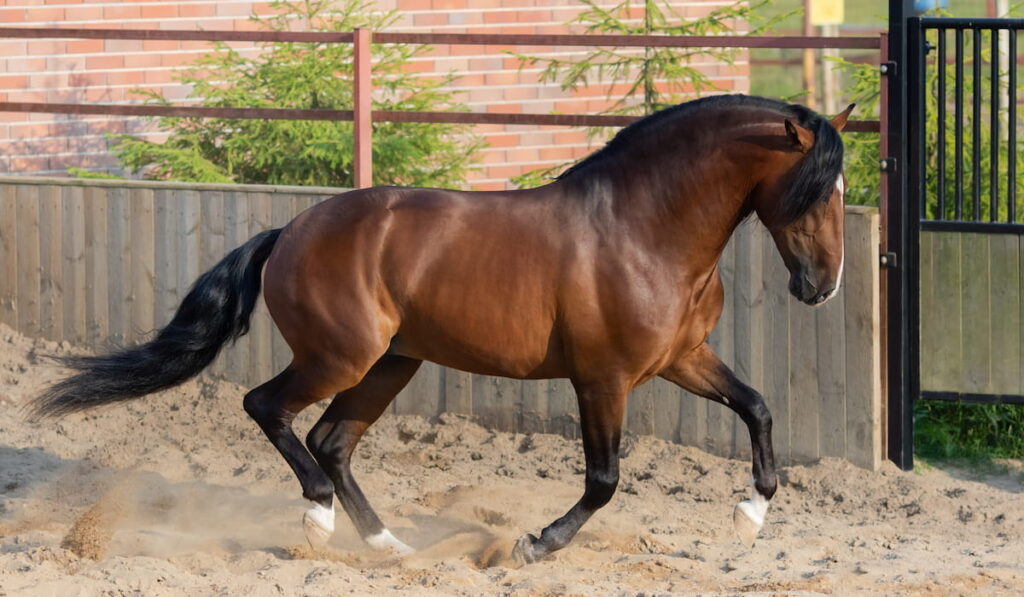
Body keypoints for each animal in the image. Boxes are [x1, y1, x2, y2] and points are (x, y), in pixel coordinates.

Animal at [32, 94, 851, 565]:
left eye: (840, 190)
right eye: (811, 189)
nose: (821, 286)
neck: (640, 227)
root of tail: (290, 230)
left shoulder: (682, 356)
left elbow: (757, 406)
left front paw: (750, 516)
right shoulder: (602, 378)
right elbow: (605, 478)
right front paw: (535, 545)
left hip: (392, 363)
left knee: (332, 440)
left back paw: (388, 544)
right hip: (342, 355)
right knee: (269, 409)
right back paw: (319, 523)